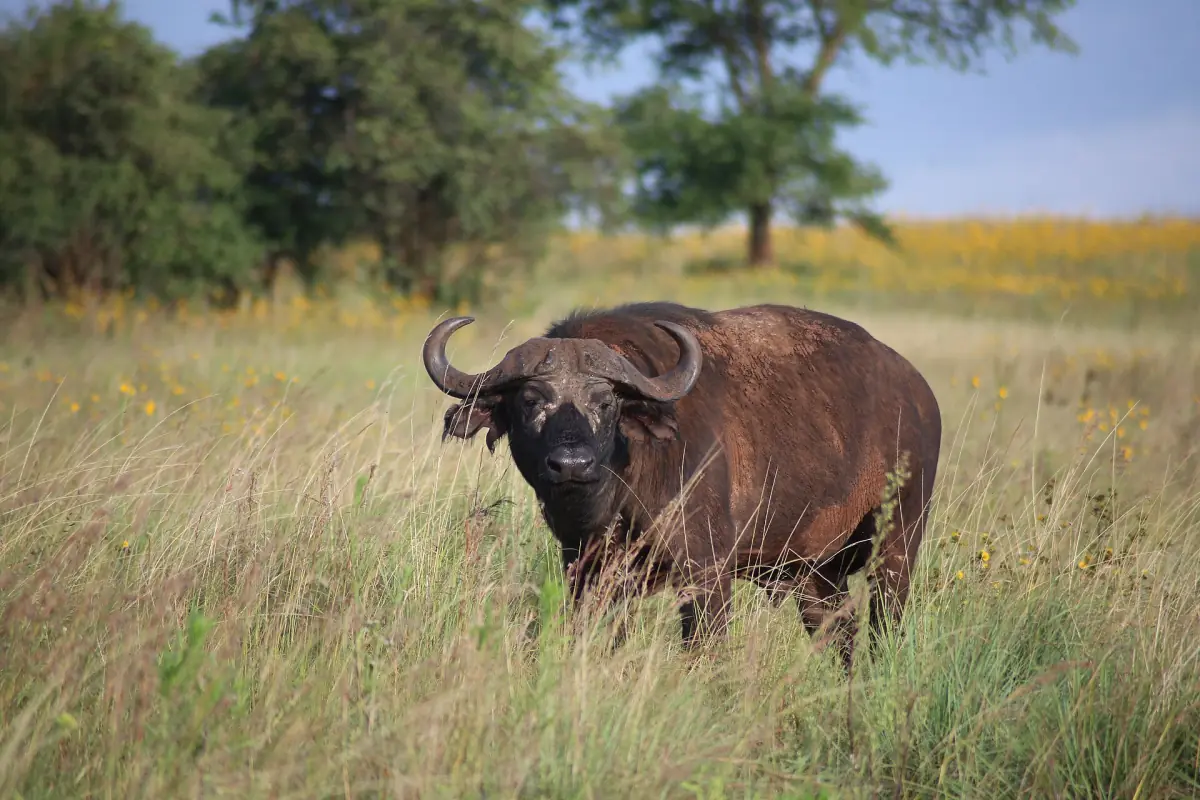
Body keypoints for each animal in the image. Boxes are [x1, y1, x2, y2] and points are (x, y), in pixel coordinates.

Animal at [423, 301, 942, 665]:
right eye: (531, 401)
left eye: (606, 402)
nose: (572, 463)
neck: (621, 494)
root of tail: (918, 393)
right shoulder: (587, 574)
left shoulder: (706, 573)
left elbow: (705, 651)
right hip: (812, 573)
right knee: (841, 633)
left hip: (898, 544)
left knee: (883, 622)